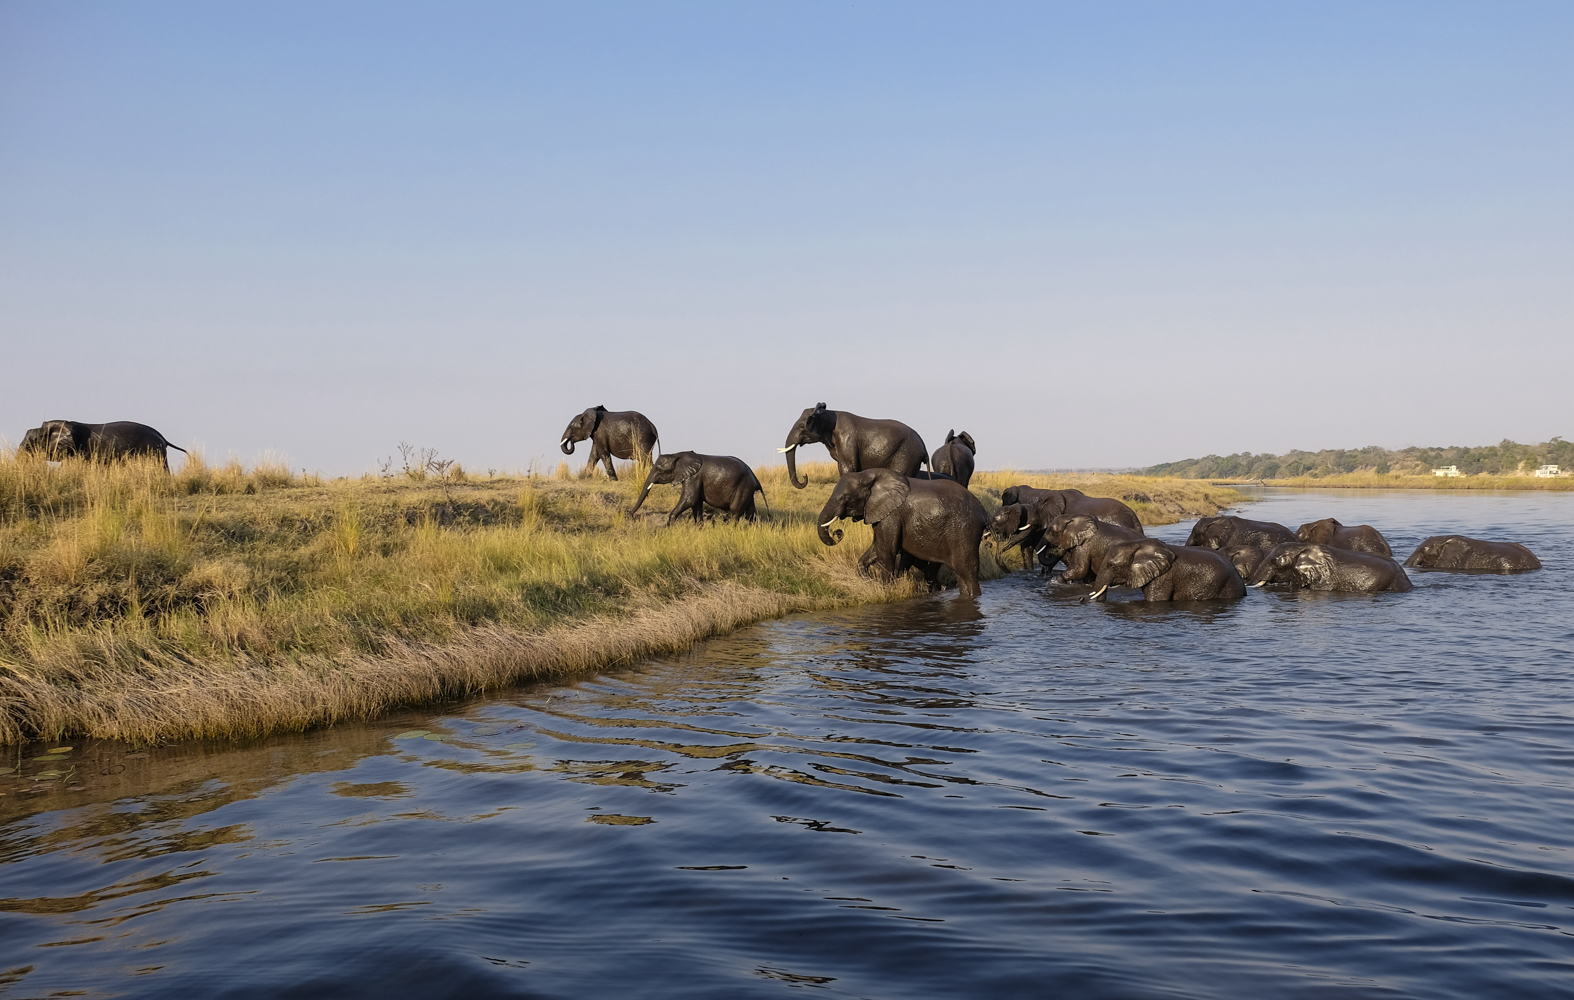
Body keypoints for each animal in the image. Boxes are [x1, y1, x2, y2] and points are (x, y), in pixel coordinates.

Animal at [628, 451, 765, 525]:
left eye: (659, 469)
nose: (629, 515)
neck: (677, 455)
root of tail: (755, 477)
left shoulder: (693, 477)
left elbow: (689, 500)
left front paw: (667, 528)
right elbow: (696, 504)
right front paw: (699, 529)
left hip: (743, 486)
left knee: (735, 512)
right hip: (747, 489)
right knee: (750, 513)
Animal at [780, 403, 928, 489]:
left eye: (802, 426)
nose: (805, 477)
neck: (827, 414)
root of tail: (924, 447)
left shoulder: (847, 440)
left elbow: (848, 468)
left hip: (907, 456)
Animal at [817, 469, 988, 598]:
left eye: (846, 498)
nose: (837, 532)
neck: (867, 475)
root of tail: (984, 512)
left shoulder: (892, 515)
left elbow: (886, 551)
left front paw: (886, 591)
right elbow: (877, 548)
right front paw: (872, 583)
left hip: (964, 530)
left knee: (966, 572)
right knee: (960, 574)